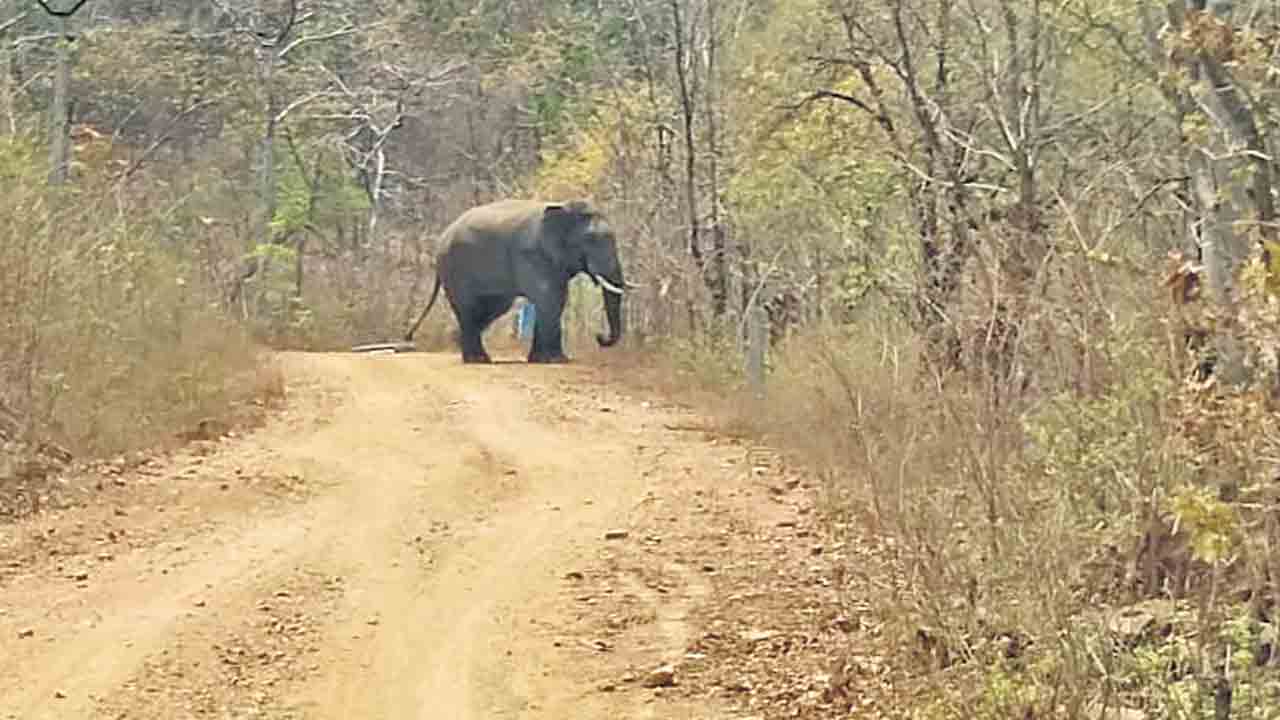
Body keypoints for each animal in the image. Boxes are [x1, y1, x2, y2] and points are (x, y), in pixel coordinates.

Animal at [404, 198, 628, 364]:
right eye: (591, 240)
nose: (599, 337)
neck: (564, 206)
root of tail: (441, 238)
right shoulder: (531, 253)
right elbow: (550, 297)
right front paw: (558, 361)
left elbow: (554, 297)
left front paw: (539, 360)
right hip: (454, 268)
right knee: (469, 308)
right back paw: (477, 359)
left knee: (493, 307)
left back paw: (464, 346)